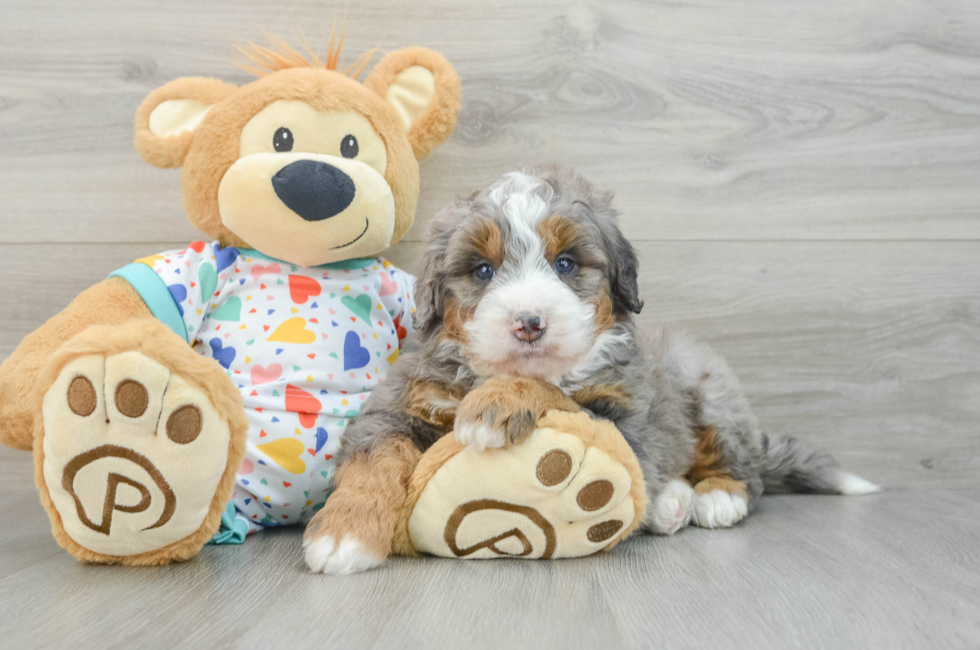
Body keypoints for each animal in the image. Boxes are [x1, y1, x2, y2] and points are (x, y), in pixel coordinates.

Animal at [300, 165, 880, 568]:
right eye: (482, 270)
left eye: (566, 264)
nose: (529, 323)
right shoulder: (401, 403)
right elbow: (373, 460)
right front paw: (343, 534)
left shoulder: (626, 418)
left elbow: (559, 397)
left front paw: (495, 405)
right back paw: (670, 503)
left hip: (710, 390)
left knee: (744, 471)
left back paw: (715, 498)